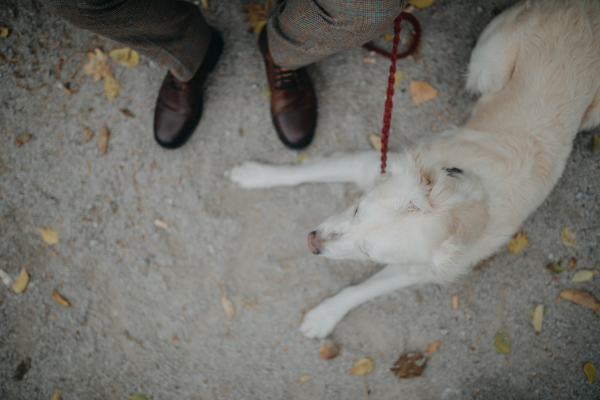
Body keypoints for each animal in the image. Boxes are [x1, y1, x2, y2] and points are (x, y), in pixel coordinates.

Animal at [229, 0, 600, 338]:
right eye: (357, 208)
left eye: (368, 251)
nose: (312, 242)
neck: (463, 205)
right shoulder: (372, 165)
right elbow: (302, 172)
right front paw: (257, 175)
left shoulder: (417, 269)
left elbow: (359, 291)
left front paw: (324, 315)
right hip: (487, 68)